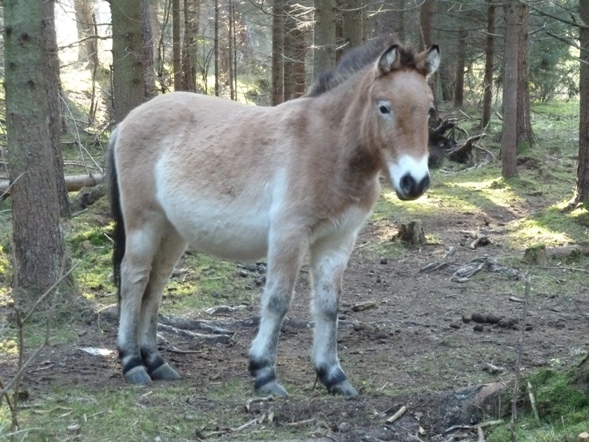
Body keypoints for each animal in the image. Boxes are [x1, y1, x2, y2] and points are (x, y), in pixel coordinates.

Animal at [108, 36, 440, 398]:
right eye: (384, 107)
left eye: (429, 110)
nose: (414, 182)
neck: (327, 147)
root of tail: (125, 122)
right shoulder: (289, 235)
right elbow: (278, 300)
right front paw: (264, 372)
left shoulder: (337, 240)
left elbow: (328, 305)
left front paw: (333, 376)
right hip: (144, 224)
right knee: (134, 280)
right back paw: (133, 363)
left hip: (172, 233)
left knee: (154, 286)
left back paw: (156, 362)